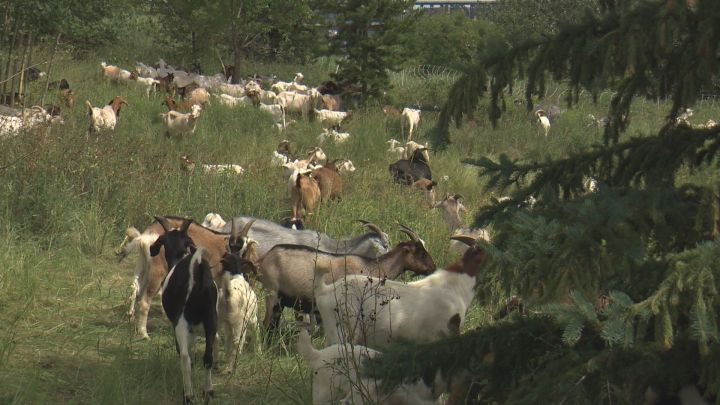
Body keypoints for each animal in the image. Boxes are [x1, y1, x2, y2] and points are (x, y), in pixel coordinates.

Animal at [258, 224, 435, 331]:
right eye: (421, 253)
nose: (433, 268)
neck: (370, 267)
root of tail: (267, 256)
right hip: (272, 293)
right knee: (267, 324)